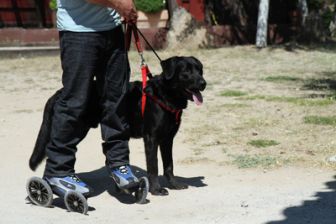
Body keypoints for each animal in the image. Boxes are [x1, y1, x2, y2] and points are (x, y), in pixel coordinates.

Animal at [28, 56, 206, 196]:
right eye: (186, 72)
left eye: (200, 70)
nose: (203, 83)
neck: (165, 96)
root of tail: (58, 93)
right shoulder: (151, 139)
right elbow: (153, 166)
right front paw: (156, 189)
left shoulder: (168, 139)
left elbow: (169, 165)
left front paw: (174, 185)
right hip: (74, 128)